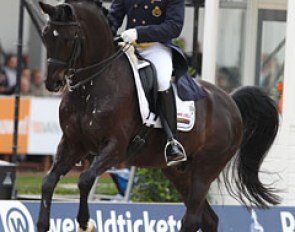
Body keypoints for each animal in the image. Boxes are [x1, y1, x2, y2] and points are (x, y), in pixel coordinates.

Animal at [37, 0, 280, 231]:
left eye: (68, 38)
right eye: (46, 36)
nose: (52, 83)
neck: (91, 88)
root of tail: (230, 100)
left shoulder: (115, 148)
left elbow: (85, 179)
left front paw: (85, 222)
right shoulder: (73, 143)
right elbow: (48, 181)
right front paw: (43, 224)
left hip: (206, 168)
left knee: (192, 219)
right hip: (178, 172)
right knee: (208, 219)